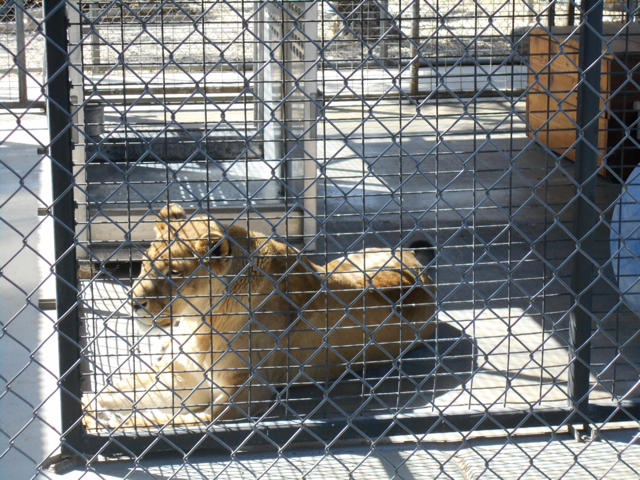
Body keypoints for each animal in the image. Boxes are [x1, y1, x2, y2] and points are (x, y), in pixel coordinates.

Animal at [83, 204, 436, 430]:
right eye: (145, 263)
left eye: (174, 272)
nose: (133, 302)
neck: (200, 320)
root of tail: (420, 269)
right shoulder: (183, 373)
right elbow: (121, 389)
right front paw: (87, 408)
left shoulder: (243, 393)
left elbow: (171, 419)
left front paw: (113, 423)